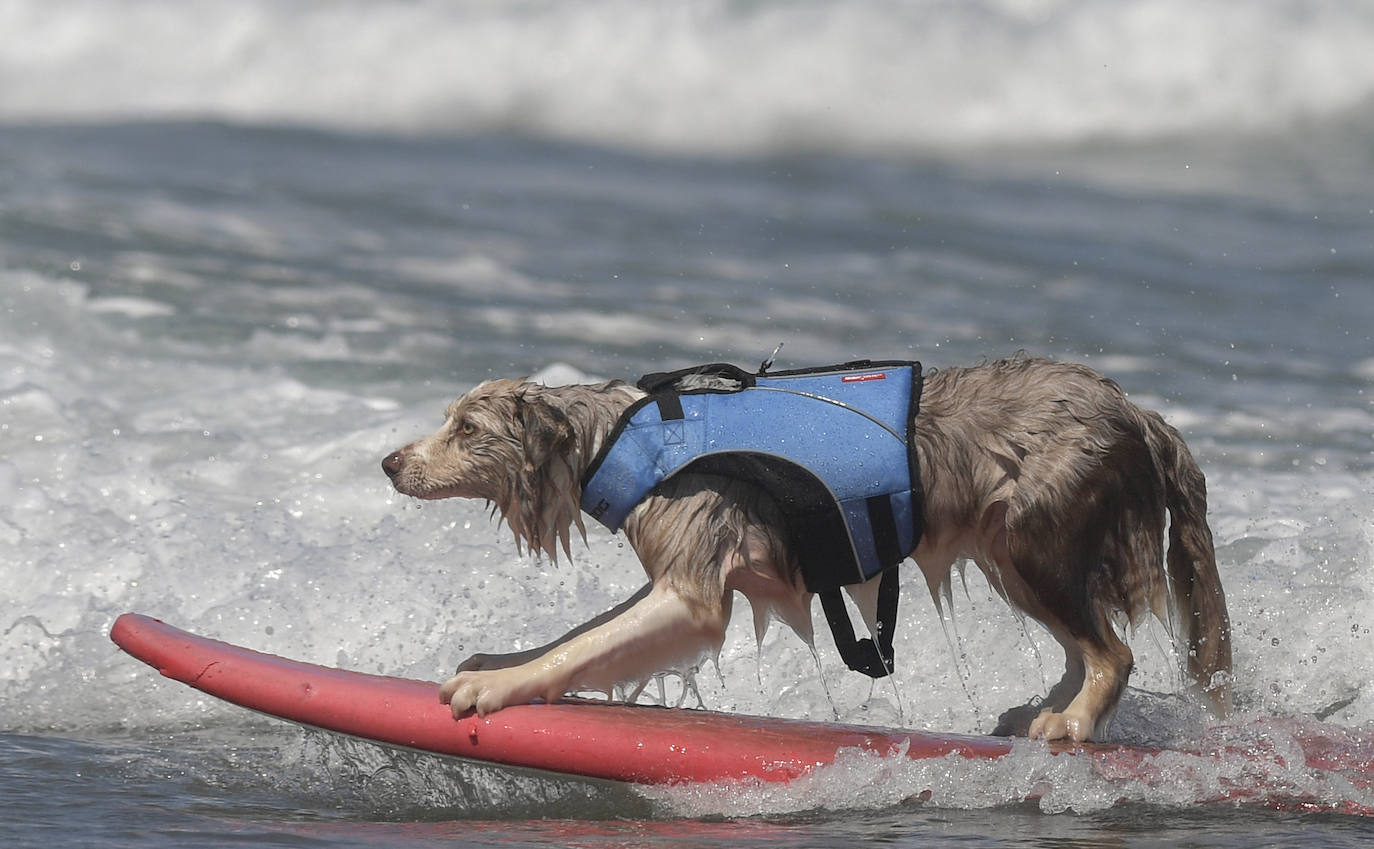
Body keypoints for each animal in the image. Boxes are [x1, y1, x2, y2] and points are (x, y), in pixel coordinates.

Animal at [384, 354, 1236, 736]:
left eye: (466, 428)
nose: (390, 461)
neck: (621, 439)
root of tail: (1136, 411)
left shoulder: (692, 590)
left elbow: (585, 646)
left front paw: (493, 687)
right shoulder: (677, 569)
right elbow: (583, 633)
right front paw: (498, 660)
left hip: (1030, 539)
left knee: (1112, 652)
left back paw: (1072, 720)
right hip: (1013, 553)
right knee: (1080, 645)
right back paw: (1040, 708)